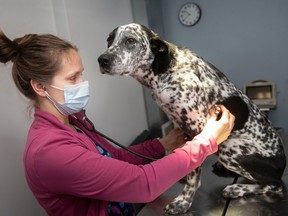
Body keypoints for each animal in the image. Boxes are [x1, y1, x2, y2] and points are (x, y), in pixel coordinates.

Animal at [98, 23, 286, 214]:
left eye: (130, 40)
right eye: (109, 40)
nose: (102, 60)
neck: (167, 70)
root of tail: (282, 165)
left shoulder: (197, 127)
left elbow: (193, 175)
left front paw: (184, 202)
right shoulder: (180, 125)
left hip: (229, 149)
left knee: (277, 185)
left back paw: (238, 188)